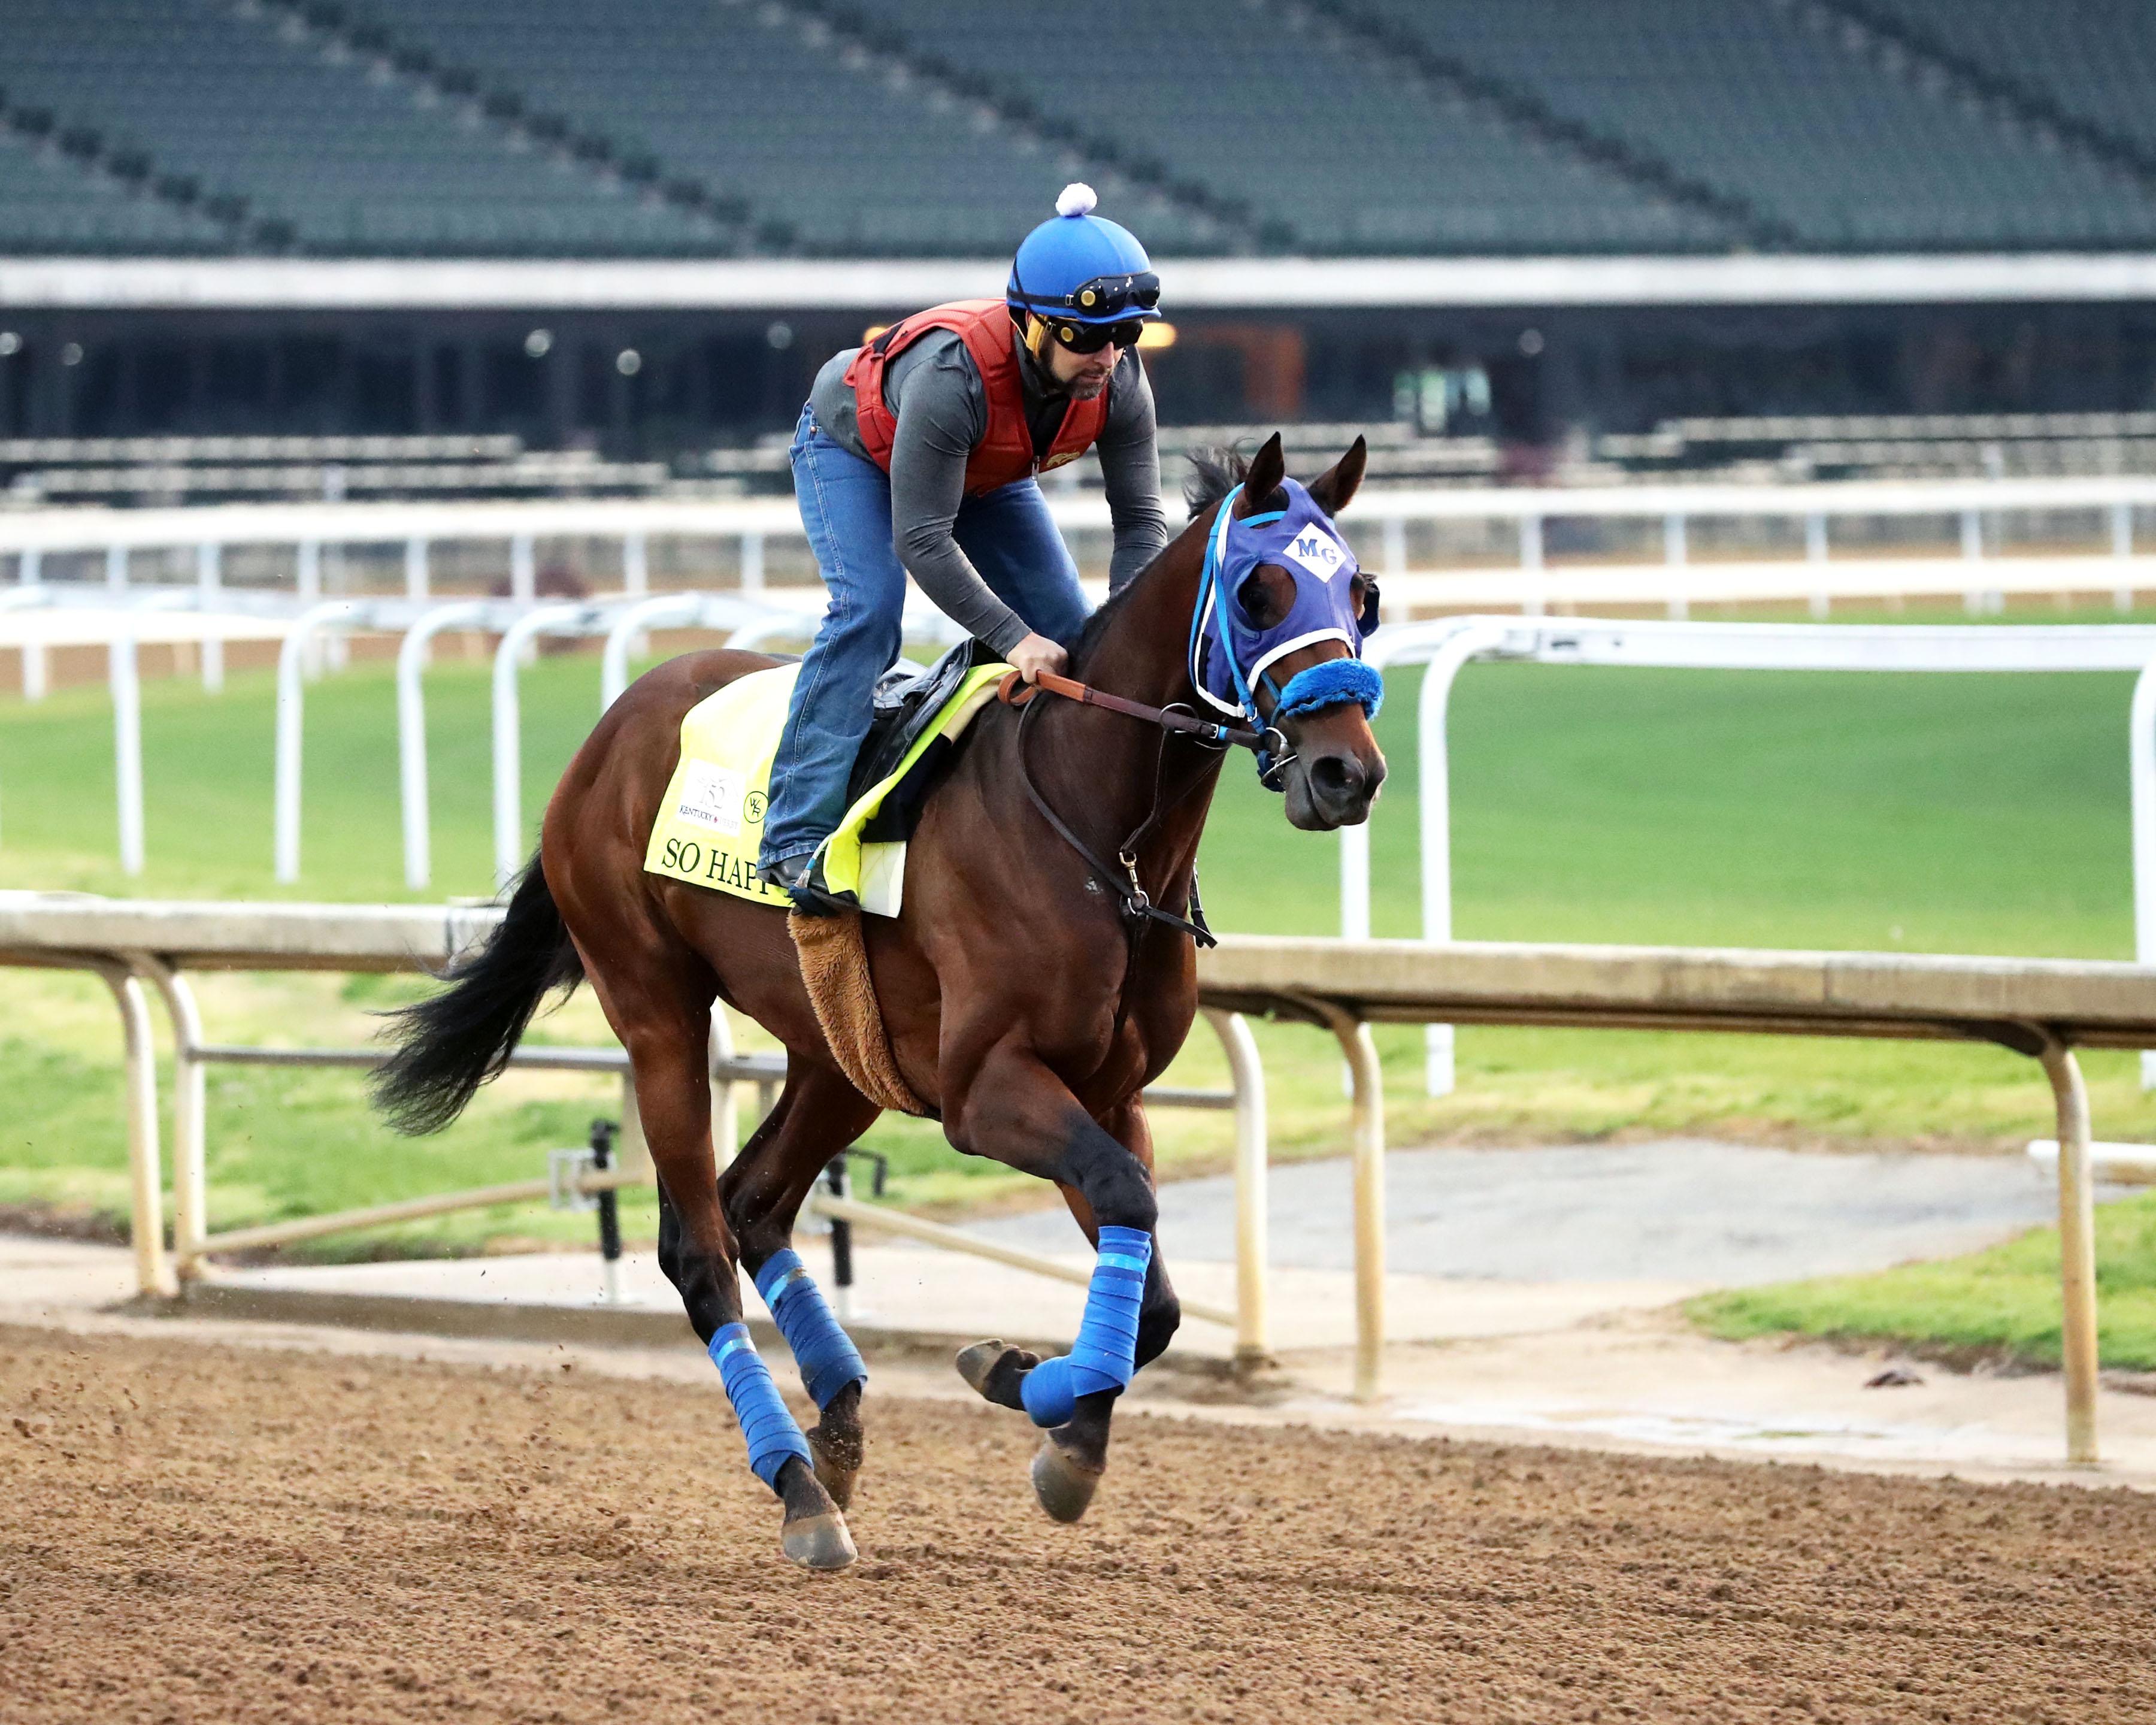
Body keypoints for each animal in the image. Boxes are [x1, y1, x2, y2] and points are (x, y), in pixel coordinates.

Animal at [370, 432, 1387, 1571]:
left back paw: (840, 1422)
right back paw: (800, 1487)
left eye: (1364, 592)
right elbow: (1127, 1202)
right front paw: (1054, 1425)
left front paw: (1029, 1389)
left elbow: (1156, 1293)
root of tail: (611, 729)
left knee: (754, 1202)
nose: (1346, 774)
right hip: (656, 1011)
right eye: (1258, 591)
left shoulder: (1108, 1089)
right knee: (699, 1250)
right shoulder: (986, 1089)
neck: (1098, 829)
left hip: (840, 1052)